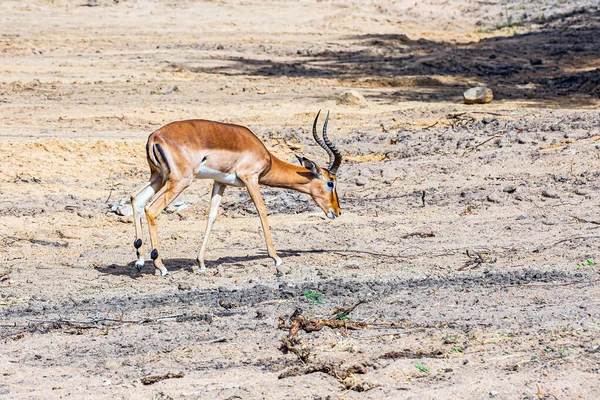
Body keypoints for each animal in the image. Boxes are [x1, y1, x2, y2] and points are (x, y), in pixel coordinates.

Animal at [130, 111, 342, 276]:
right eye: (330, 182)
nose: (337, 211)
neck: (264, 155)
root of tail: (154, 137)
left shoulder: (220, 182)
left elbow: (212, 216)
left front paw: (201, 263)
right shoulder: (251, 179)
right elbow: (262, 210)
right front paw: (276, 259)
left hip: (158, 177)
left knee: (136, 199)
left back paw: (140, 260)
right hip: (179, 181)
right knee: (151, 209)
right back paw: (161, 266)